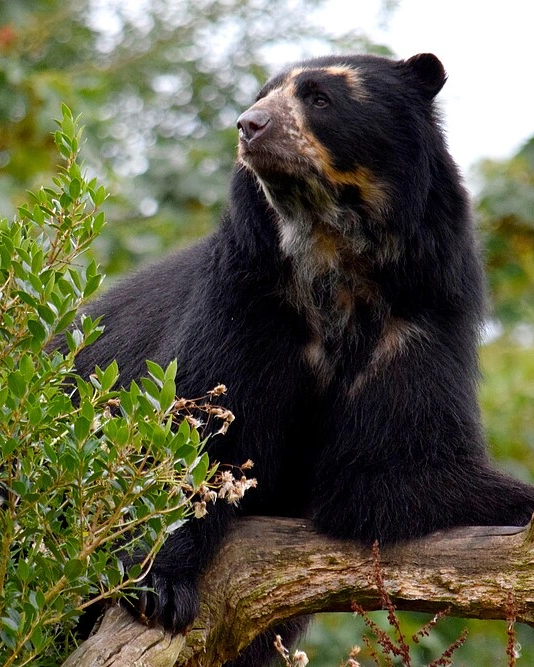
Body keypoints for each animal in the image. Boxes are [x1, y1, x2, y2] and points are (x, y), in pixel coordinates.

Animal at [71, 54, 534, 664]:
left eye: (319, 98)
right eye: (261, 96)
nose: (249, 125)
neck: (331, 250)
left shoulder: (419, 321)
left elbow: (389, 469)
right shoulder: (247, 301)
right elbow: (191, 439)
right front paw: (159, 590)